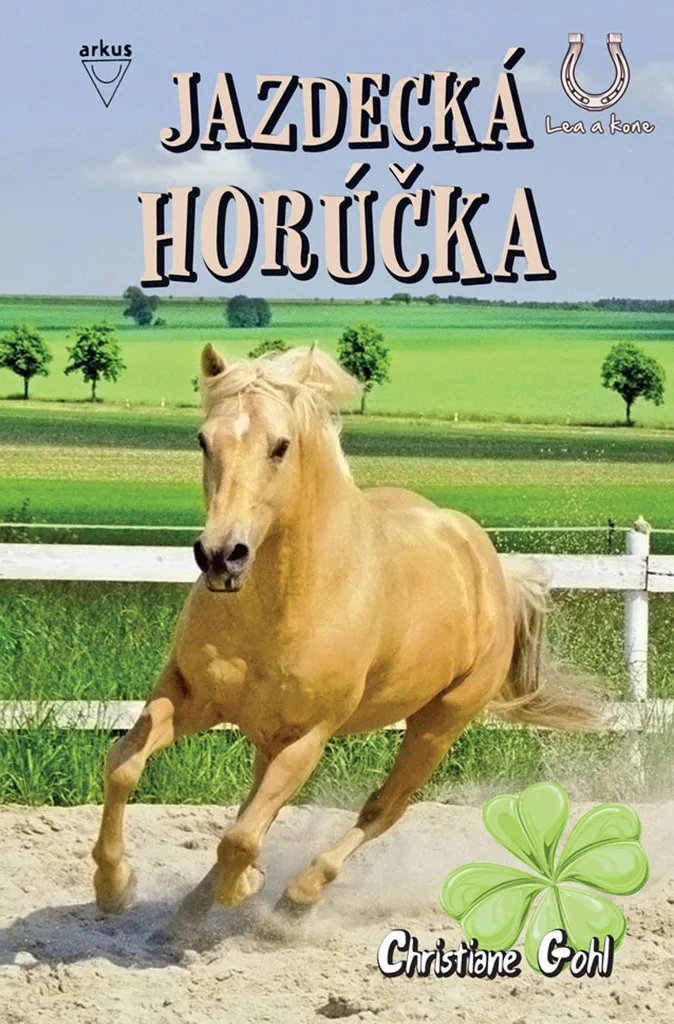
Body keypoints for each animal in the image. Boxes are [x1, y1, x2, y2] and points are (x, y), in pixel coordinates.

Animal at [92, 343, 594, 930]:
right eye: (203, 440)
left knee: (383, 806)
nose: (221, 556)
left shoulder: (310, 735)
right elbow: (124, 767)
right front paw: (114, 887)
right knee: (258, 805)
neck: (286, 602)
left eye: (280, 446)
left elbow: (241, 839)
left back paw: (297, 895)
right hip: (273, 731)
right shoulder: (189, 695)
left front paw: (246, 887)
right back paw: (194, 908)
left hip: (437, 725)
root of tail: (487, 564)